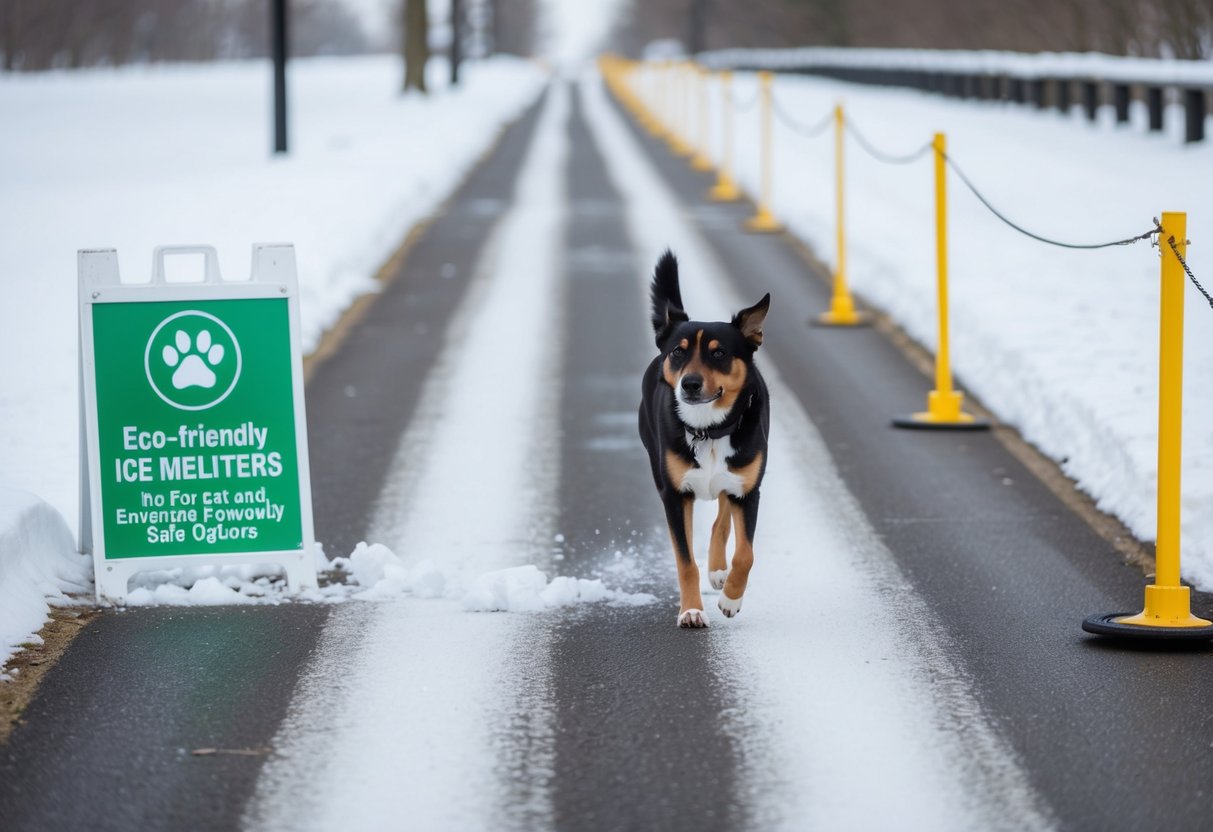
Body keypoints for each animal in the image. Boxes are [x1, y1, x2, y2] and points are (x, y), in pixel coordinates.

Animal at [640, 251, 771, 630]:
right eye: (678, 352)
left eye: (718, 353)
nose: (690, 384)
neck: (707, 430)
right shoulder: (673, 494)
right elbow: (685, 561)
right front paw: (691, 611)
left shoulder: (748, 490)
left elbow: (746, 553)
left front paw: (730, 598)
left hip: (737, 475)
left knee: (721, 517)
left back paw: (717, 572)